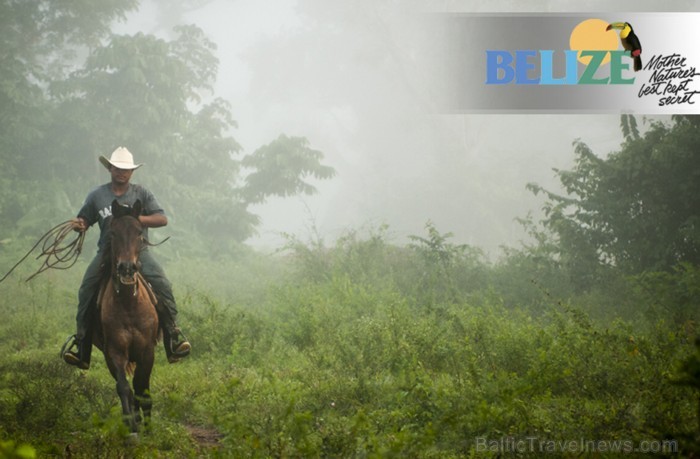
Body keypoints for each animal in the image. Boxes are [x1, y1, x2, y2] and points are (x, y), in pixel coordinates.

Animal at [91, 199, 159, 434]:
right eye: (113, 233)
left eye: (139, 232)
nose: (127, 268)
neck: (129, 304)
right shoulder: (115, 351)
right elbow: (124, 387)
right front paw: (131, 425)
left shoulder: (147, 351)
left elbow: (141, 387)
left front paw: (148, 428)